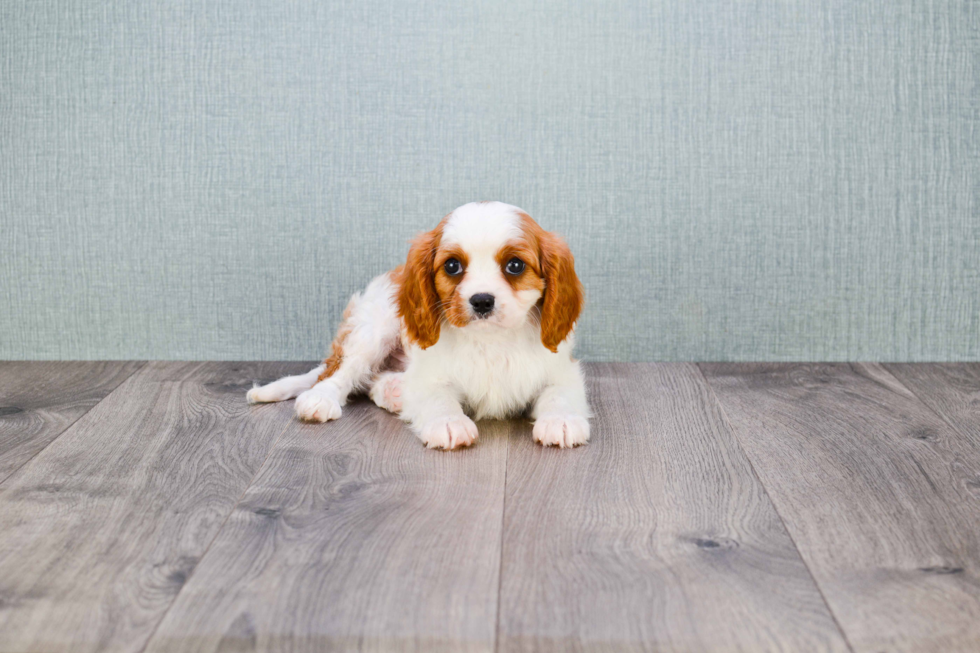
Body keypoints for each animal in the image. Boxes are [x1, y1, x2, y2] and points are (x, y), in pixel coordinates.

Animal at [253, 201, 588, 448]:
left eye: (515, 265)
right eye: (452, 266)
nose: (481, 300)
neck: (490, 340)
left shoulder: (561, 369)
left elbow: (559, 393)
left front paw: (561, 420)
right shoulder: (429, 375)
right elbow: (438, 397)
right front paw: (449, 423)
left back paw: (393, 390)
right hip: (375, 325)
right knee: (341, 370)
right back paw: (321, 398)